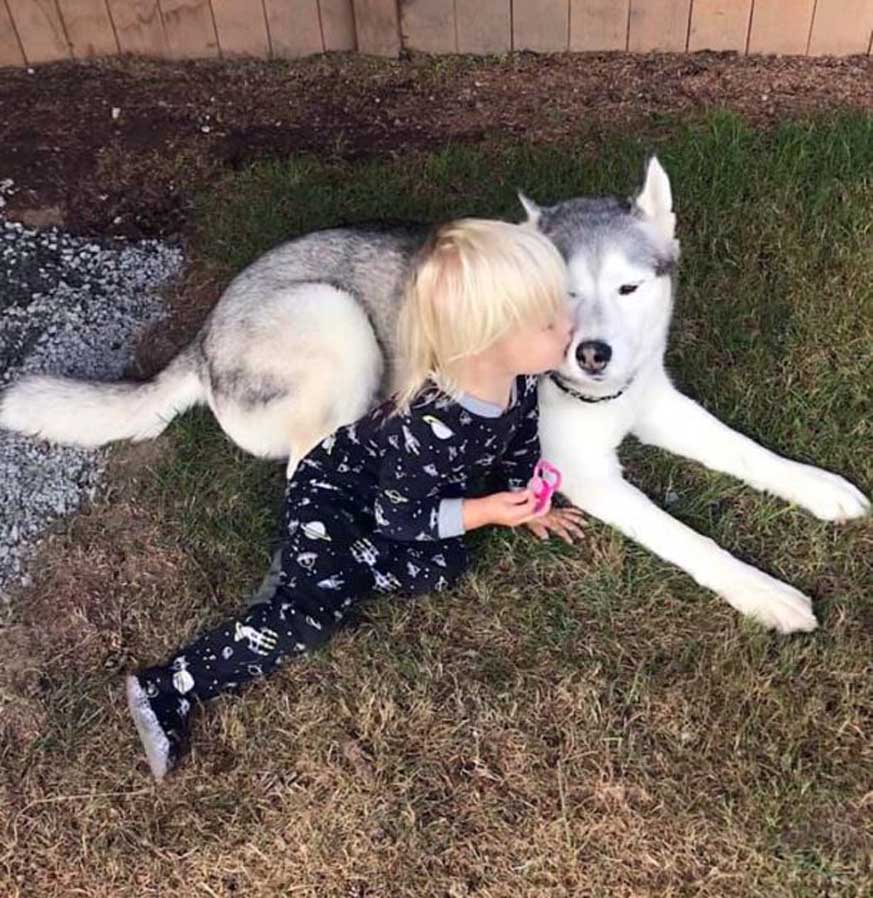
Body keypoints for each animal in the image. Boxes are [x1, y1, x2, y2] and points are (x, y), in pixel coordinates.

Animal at [1, 159, 864, 632]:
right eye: (559, 297)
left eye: (626, 288)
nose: (590, 354)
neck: (599, 397)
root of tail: (205, 328)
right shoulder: (588, 471)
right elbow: (688, 540)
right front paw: (762, 592)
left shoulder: (656, 402)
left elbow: (749, 454)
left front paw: (819, 488)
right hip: (336, 322)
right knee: (308, 470)